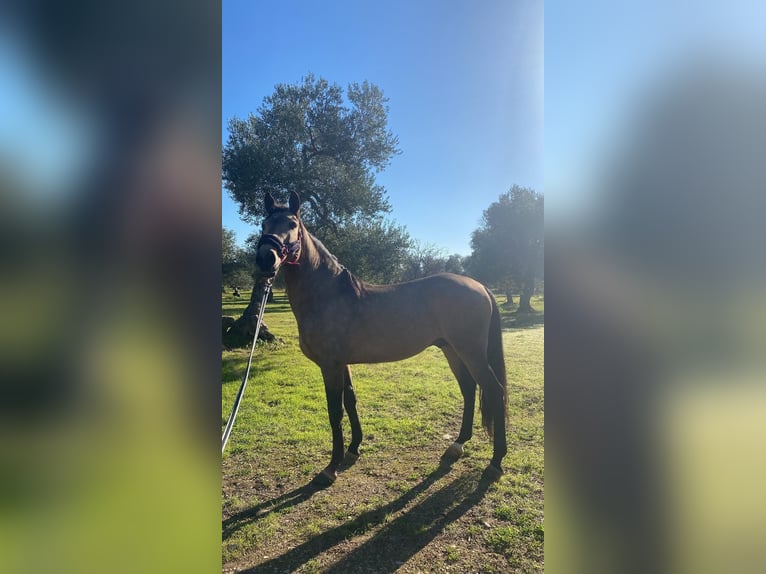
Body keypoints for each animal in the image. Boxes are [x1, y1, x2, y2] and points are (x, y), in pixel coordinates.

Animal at [256, 192, 510, 486]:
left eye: (292, 223)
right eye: (263, 223)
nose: (266, 258)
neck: (328, 295)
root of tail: (480, 286)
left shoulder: (330, 365)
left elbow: (335, 412)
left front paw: (330, 468)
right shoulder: (342, 363)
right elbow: (350, 400)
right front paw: (353, 449)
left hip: (471, 352)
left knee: (494, 391)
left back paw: (495, 463)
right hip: (452, 350)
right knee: (469, 389)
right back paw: (457, 445)